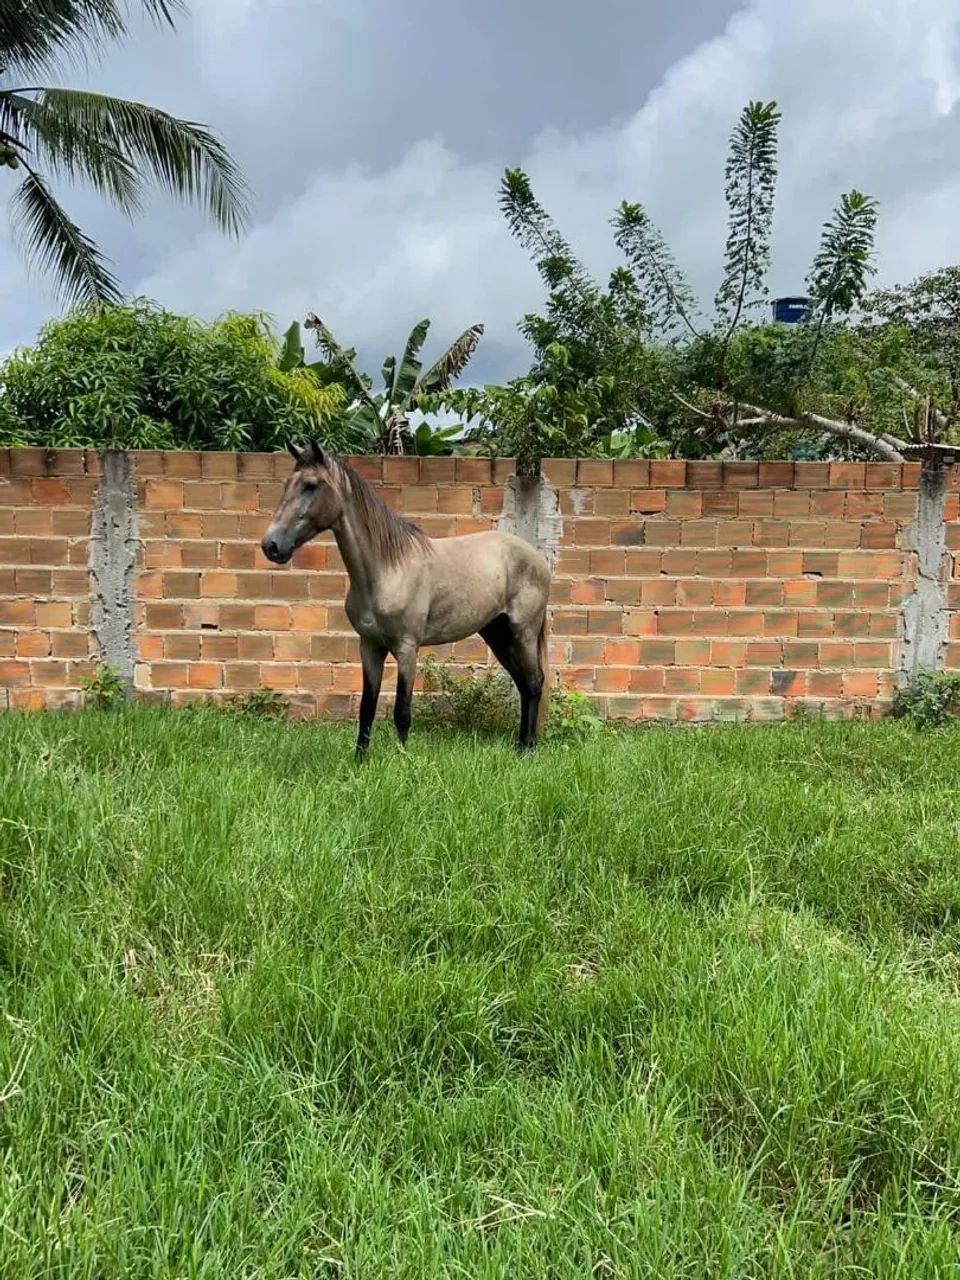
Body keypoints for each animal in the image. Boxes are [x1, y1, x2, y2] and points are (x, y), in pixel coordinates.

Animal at [261, 441, 552, 757]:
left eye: (311, 486)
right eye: (287, 484)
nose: (271, 545)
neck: (388, 570)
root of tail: (537, 558)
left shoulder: (406, 648)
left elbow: (402, 712)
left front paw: (403, 759)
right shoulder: (370, 647)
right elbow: (367, 708)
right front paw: (360, 760)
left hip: (522, 633)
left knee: (534, 683)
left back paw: (528, 749)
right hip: (497, 634)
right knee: (523, 683)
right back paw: (521, 745)